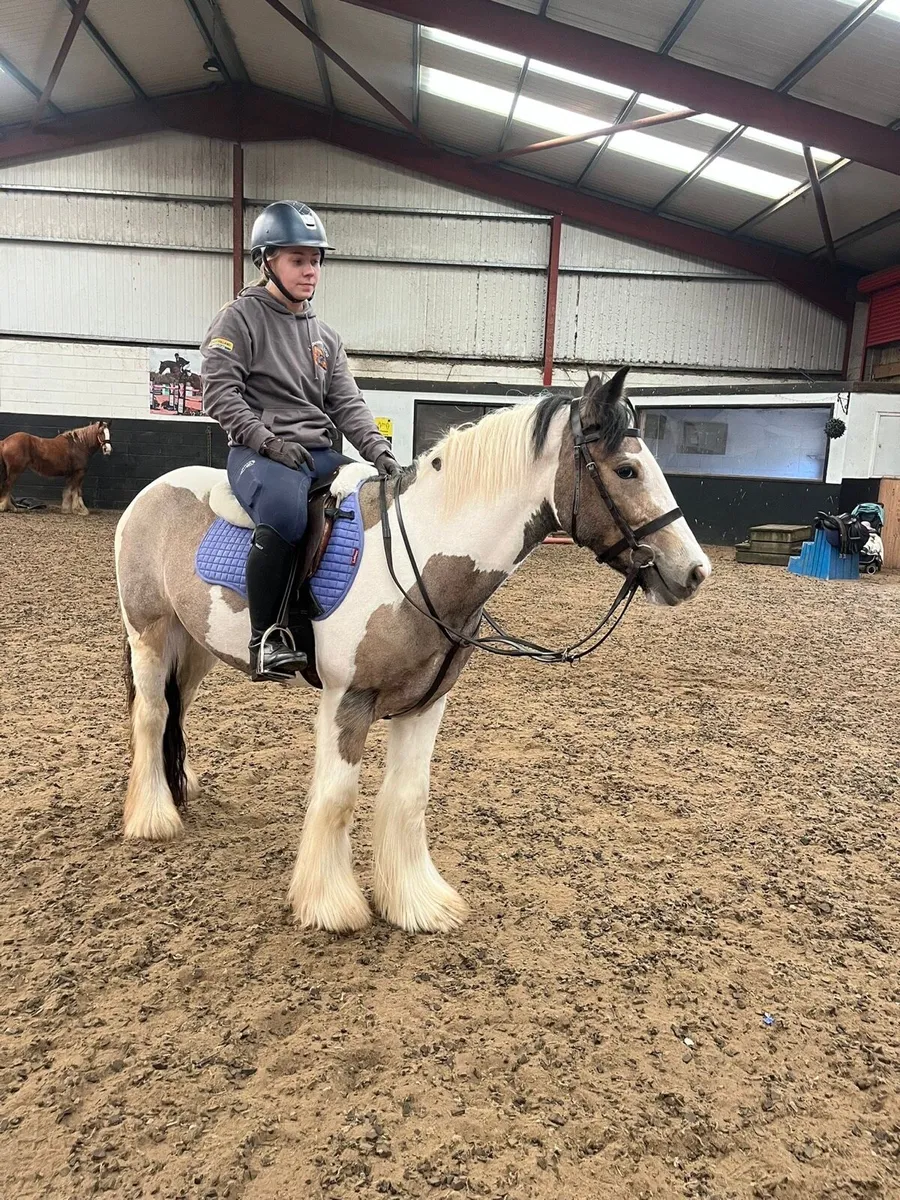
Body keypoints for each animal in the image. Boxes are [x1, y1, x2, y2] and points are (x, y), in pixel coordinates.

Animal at [114, 370, 710, 935]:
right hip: (149, 635)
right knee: (152, 714)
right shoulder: (347, 701)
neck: (415, 558)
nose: (694, 571)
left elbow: (408, 798)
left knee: (176, 711)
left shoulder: (426, 704)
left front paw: (415, 904)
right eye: (627, 471)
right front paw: (330, 905)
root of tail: (152, 492)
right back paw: (153, 817)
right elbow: (337, 798)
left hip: (194, 647)